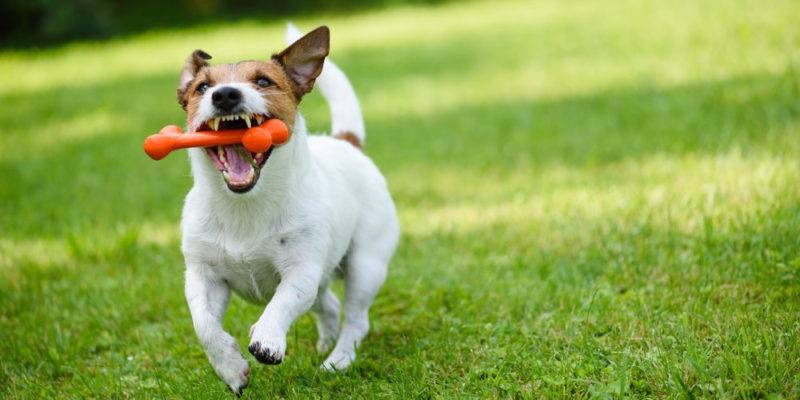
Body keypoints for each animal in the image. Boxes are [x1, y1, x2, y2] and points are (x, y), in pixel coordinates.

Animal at [176, 24, 400, 394]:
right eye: (202, 87)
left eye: (263, 81)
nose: (224, 95)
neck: (245, 205)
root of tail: (346, 143)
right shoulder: (203, 277)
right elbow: (203, 325)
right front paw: (230, 368)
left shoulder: (301, 271)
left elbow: (282, 302)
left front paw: (267, 338)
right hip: (325, 277)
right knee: (329, 305)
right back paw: (325, 343)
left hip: (365, 266)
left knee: (356, 319)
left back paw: (337, 360)